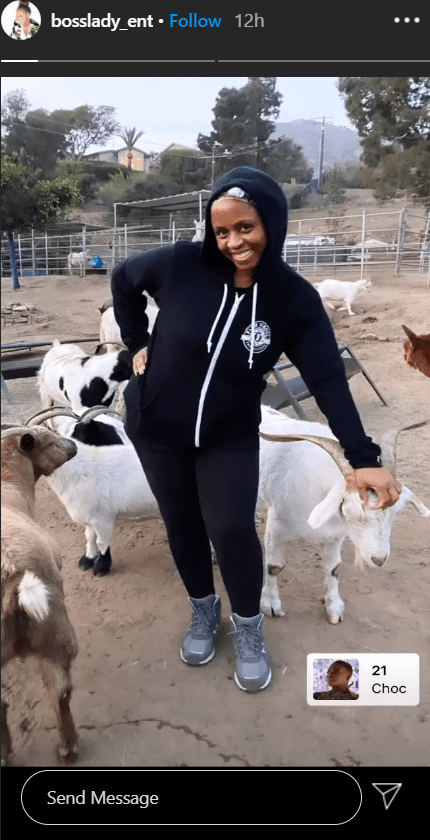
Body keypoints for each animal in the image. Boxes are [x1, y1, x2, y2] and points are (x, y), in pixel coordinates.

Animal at [256, 404, 428, 628]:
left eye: (395, 513)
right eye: (350, 510)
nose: (379, 559)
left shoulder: (335, 536)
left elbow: (334, 569)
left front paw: (334, 607)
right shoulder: (276, 527)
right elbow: (274, 567)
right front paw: (270, 604)